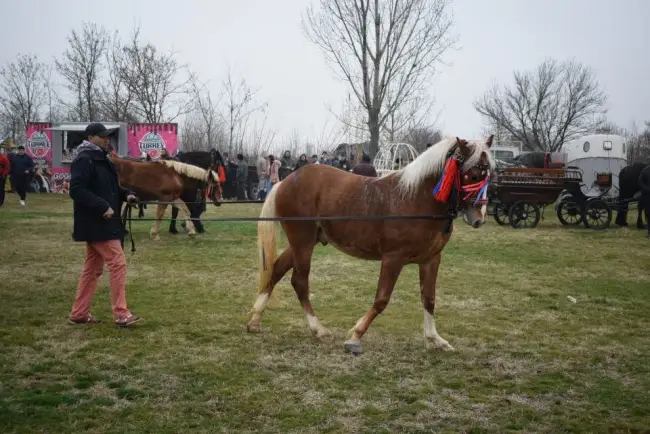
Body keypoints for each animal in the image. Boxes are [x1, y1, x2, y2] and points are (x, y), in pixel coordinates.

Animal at [246, 136, 494, 356]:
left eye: (488, 175)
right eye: (472, 173)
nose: (478, 218)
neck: (416, 199)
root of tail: (285, 182)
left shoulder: (431, 259)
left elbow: (429, 298)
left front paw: (435, 339)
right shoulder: (393, 258)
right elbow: (382, 299)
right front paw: (355, 336)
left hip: (303, 242)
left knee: (276, 270)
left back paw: (255, 320)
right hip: (303, 242)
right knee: (299, 282)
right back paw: (318, 330)